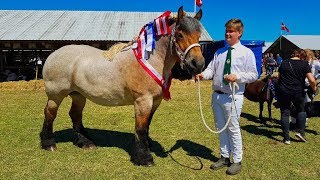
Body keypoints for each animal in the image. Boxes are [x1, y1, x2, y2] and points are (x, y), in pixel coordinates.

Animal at [39, 7, 205, 167]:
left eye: (198, 36)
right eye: (180, 34)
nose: (198, 64)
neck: (151, 59)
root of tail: (52, 55)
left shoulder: (155, 101)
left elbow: (147, 125)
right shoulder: (143, 101)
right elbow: (141, 128)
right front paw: (144, 158)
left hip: (78, 95)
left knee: (75, 114)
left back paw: (85, 142)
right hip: (56, 95)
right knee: (50, 114)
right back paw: (48, 144)